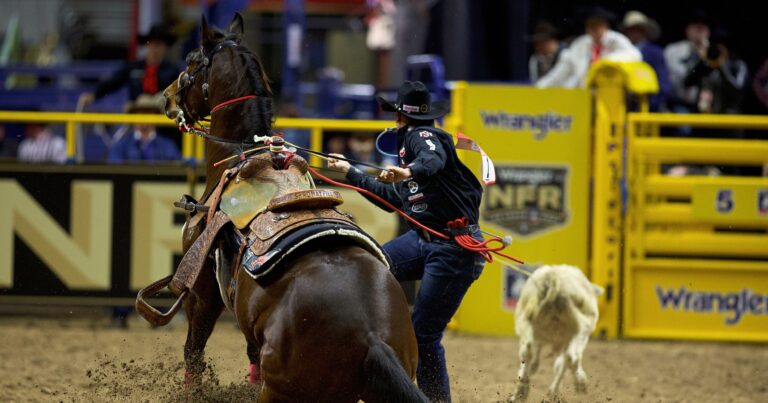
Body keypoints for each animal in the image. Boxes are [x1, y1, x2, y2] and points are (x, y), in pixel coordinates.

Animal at [160, 13, 420, 403]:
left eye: (192, 60)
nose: (167, 96)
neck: (240, 157)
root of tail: (373, 336)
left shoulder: (203, 292)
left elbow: (194, 350)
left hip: (282, 390)